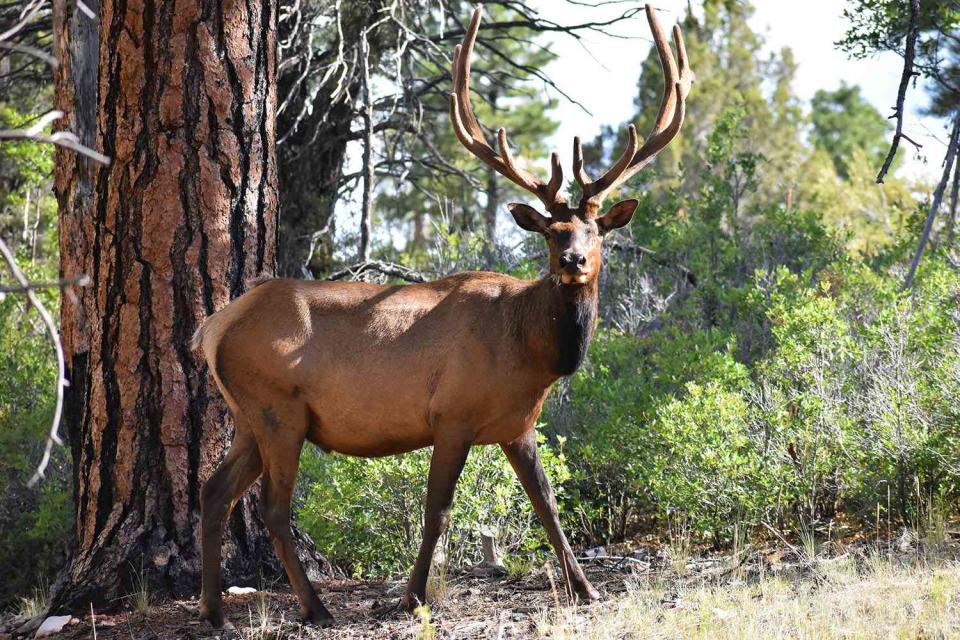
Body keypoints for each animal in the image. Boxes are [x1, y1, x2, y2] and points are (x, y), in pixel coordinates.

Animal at [193, 3, 688, 624]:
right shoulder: (451, 416)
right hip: (278, 411)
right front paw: (413, 596)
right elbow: (439, 511)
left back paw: (213, 609)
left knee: (214, 492)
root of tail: (213, 328)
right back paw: (314, 607)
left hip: (249, 417)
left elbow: (548, 504)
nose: (573, 260)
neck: (531, 350)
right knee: (272, 508)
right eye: (552, 233)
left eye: (596, 230)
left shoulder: (519, 426)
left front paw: (585, 588)